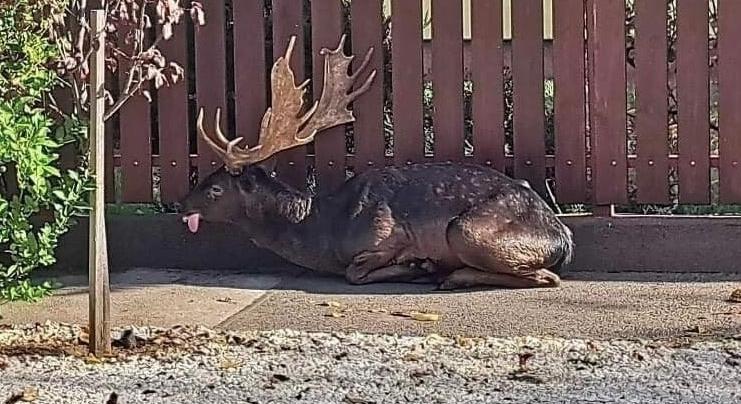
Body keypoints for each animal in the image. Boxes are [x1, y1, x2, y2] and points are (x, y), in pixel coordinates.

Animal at [178, 33, 572, 288]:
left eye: (214, 188)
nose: (181, 204)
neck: (326, 228)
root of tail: (563, 237)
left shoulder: (387, 236)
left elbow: (354, 273)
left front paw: (418, 265)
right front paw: (420, 266)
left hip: (466, 230)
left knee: (546, 277)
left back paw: (448, 275)